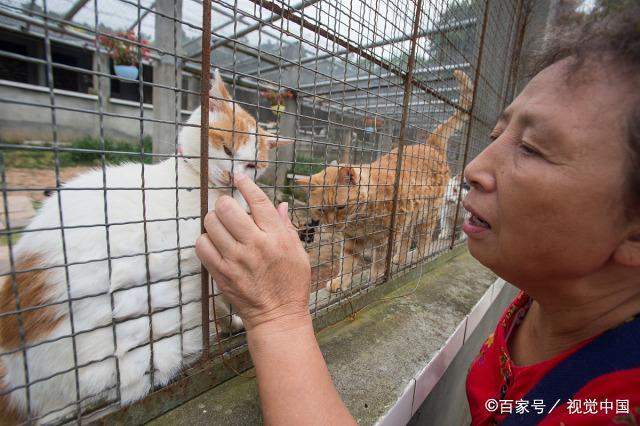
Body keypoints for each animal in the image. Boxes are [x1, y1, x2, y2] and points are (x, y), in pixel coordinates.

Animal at [0, 70, 288, 422]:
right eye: (227, 149)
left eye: (252, 166)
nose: (233, 179)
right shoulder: (201, 264)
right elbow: (216, 303)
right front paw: (230, 323)